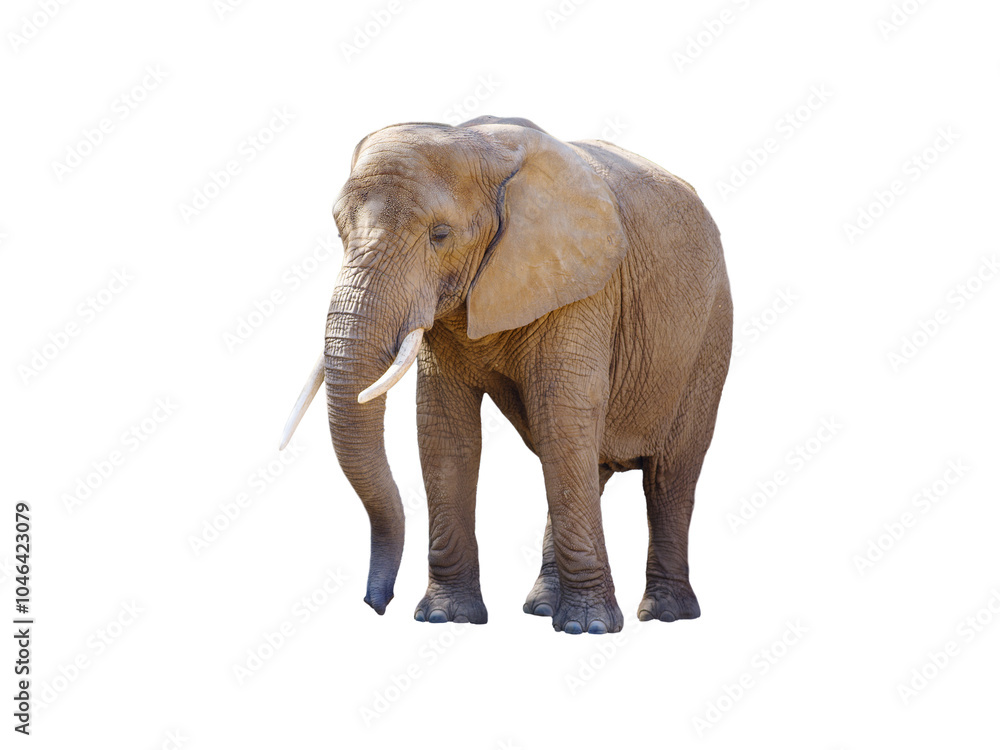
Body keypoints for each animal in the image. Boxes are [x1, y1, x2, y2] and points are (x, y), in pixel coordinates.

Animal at [279, 115, 732, 634]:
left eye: (440, 235)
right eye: (338, 232)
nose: (377, 603)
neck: (481, 145)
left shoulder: (583, 284)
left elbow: (560, 415)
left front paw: (588, 629)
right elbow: (444, 429)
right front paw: (444, 618)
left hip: (708, 338)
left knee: (667, 477)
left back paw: (664, 615)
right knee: (586, 461)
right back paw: (541, 607)